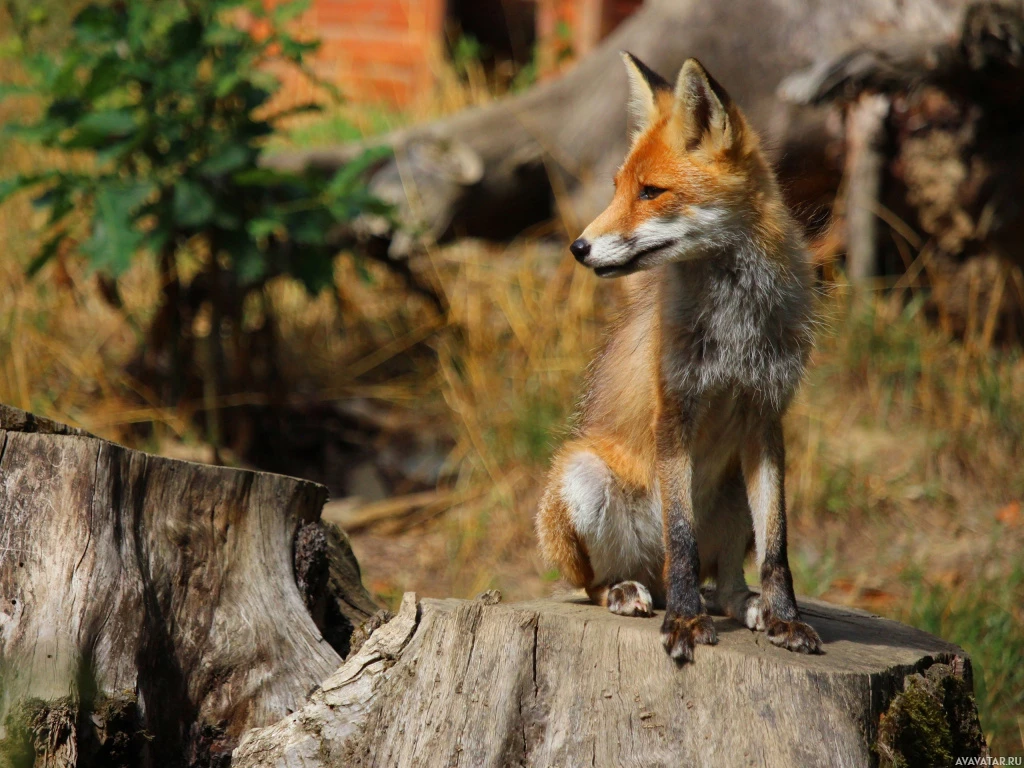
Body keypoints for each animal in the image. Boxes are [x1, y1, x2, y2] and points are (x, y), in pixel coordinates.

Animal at [532, 54, 819, 663]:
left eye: (651, 192)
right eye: (618, 188)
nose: (578, 248)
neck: (735, 324)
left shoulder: (766, 418)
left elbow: (778, 550)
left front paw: (787, 619)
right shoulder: (674, 412)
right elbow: (681, 539)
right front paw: (685, 624)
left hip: (733, 492)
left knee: (727, 581)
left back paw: (749, 606)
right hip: (582, 478)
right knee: (606, 581)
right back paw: (632, 593)